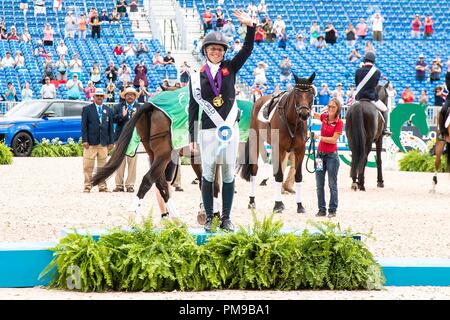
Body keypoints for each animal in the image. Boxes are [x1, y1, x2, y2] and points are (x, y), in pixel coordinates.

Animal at [239, 72, 316, 212]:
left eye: (311, 93)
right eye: (296, 94)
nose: (304, 114)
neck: (291, 121)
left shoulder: (300, 149)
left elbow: (298, 176)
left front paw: (300, 206)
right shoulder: (278, 148)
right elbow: (279, 175)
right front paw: (278, 205)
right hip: (256, 141)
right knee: (254, 170)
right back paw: (252, 201)